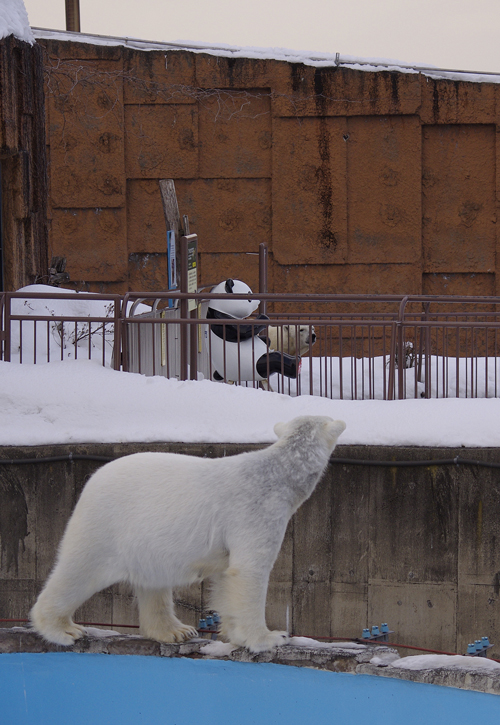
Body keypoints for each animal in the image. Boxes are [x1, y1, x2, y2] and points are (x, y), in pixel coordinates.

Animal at [30, 412, 344, 652]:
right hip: (106, 523)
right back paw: (63, 630)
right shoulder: (257, 510)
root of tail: (91, 480)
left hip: (145, 538)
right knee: (79, 570)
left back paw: (176, 630)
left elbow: (226, 576)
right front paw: (269, 638)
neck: (279, 473)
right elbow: (249, 571)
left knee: (153, 582)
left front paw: (233, 634)